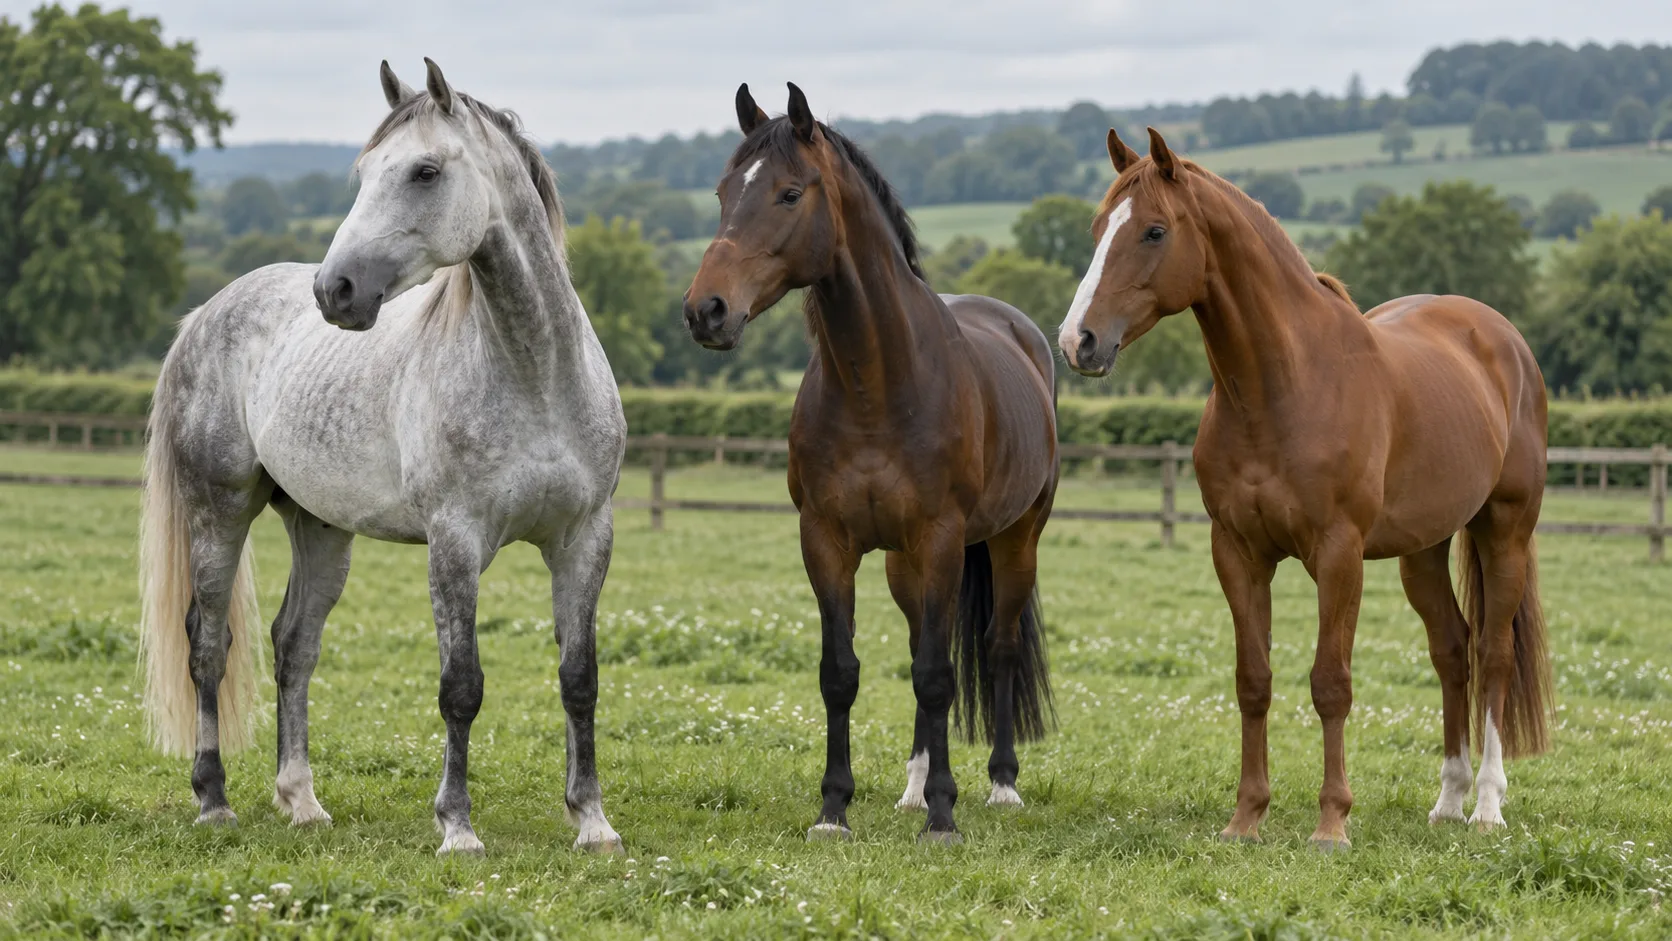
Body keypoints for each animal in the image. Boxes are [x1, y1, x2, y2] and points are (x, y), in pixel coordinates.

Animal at [138, 59, 627, 856]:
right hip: (219, 511)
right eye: (365, 172)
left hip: (319, 528)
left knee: (293, 646)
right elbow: (461, 686)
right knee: (209, 644)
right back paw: (213, 799)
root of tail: (206, 314)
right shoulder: (455, 542)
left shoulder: (585, 537)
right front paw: (457, 826)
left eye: (425, 171)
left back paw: (301, 800)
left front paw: (591, 820)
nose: (334, 290)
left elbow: (578, 677)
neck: (536, 372)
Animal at [681, 83, 1059, 844]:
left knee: (997, 647)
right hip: (904, 564)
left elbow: (940, 674)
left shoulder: (941, 538)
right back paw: (913, 785)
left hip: (1015, 539)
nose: (706, 309)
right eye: (724, 192)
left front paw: (944, 816)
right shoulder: (827, 541)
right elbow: (844, 672)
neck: (876, 385)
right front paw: (834, 809)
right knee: (921, 643)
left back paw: (1001, 784)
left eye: (790, 192)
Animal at [1058, 126, 1552, 849]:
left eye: (1153, 231)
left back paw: (1487, 804)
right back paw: (1448, 801)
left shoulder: (1339, 555)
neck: (1283, 387)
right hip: (1421, 551)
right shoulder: (1237, 553)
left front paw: (1331, 823)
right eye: (1098, 229)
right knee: (1451, 650)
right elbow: (1253, 680)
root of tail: (1500, 336)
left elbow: (1330, 683)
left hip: (1505, 529)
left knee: (1492, 653)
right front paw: (1246, 817)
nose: (1079, 341)